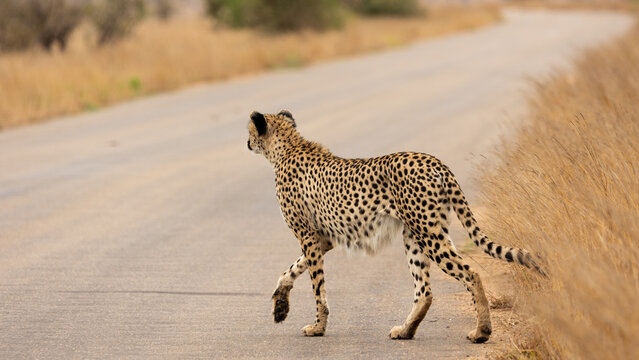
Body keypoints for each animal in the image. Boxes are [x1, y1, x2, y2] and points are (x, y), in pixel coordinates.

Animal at [248, 109, 544, 344]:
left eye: (249, 131)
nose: (247, 142)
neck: (287, 146)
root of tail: (435, 161)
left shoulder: (308, 235)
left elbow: (317, 286)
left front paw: (318, 327)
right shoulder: (323, 238)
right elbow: (290, 270)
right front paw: (280, 306)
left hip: (427, 233)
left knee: (470, 273)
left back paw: (481, 331)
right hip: (416, 234)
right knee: (424, 291)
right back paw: (406, 330)